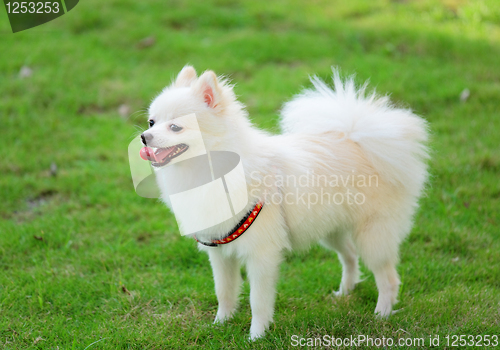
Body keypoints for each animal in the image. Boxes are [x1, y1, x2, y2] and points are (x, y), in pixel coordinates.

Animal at [140, 65, 430, 340]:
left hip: (372, 234)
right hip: (330, 228)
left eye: (175, 126)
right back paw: (344, 293)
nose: (144, 136)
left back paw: (382, 313)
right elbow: (224, 291)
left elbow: (258, 301)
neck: (211, 169)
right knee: (349, 256)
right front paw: (220, 324)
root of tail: (356, 137)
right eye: (152, 121)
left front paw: (257, 335)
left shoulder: (261, 254)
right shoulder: (219, 250)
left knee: (388, 276)